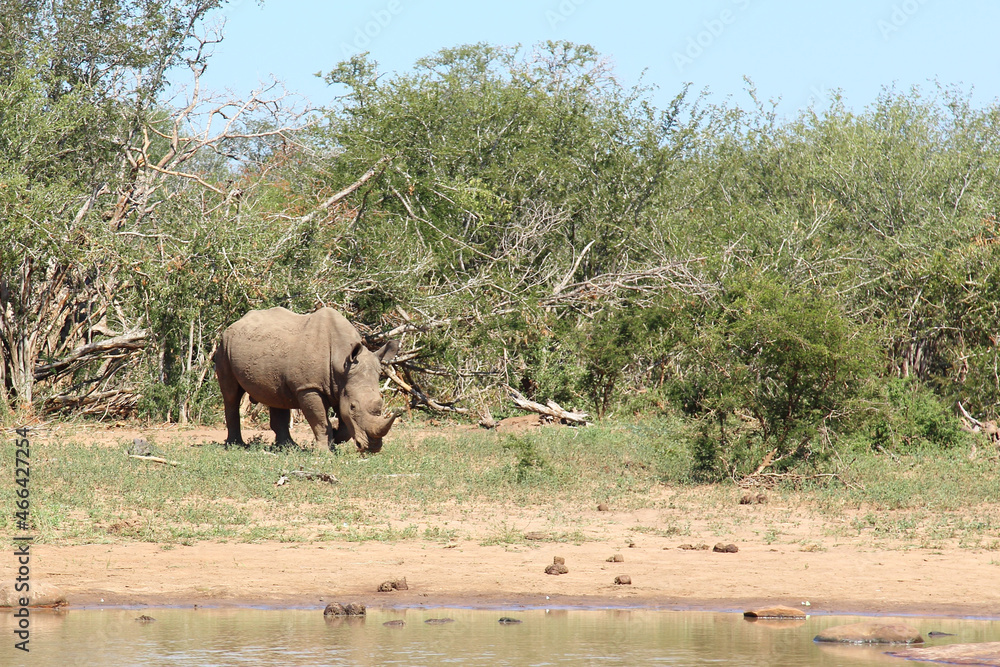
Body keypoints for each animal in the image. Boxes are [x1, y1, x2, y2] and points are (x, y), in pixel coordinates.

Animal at [215, 307, 400, 453]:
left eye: (381, 404)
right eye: (354, 407)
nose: (373, 448)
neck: (341, 362)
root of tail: (235, 323)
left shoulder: (341, 386)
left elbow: (344, 423)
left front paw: (335, 438)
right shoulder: (308, 387)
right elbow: (319, 420)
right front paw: (326, 451)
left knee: (276, 395)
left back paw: (288, 448)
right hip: (224, 344)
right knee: (231, 395)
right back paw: (236, 446)